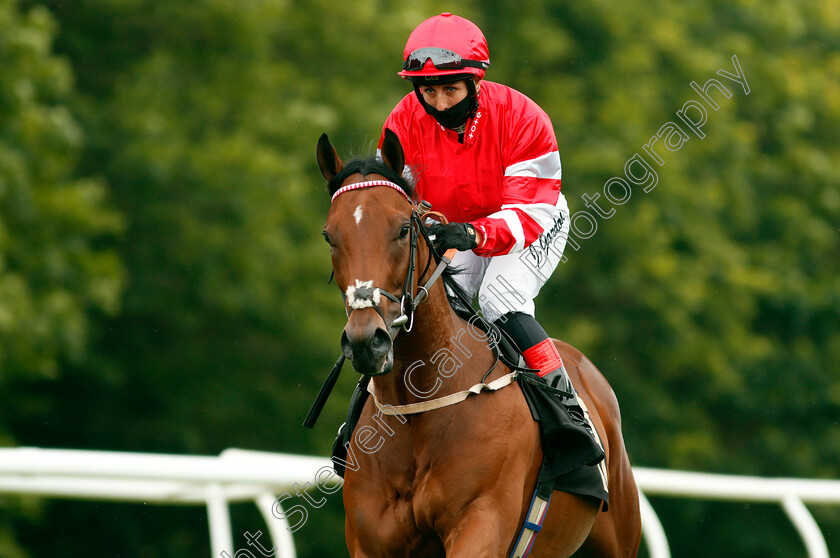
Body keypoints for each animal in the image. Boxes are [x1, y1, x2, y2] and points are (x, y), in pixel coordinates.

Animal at [318, 131, 640, 558]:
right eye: (329, 235)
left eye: (403, 229)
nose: (366, 340)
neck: (420, 404)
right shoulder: (370, 541)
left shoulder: (481, 521)